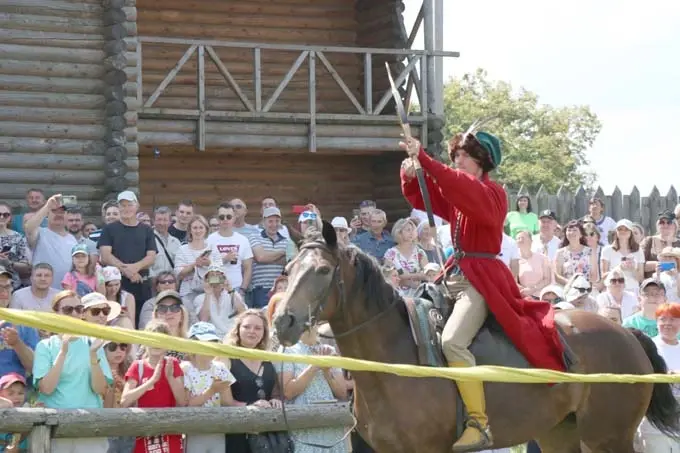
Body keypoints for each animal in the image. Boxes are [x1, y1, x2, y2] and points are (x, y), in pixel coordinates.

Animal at [274, 223, 680, 452]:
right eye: (288, 269)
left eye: (322, 270)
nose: (282, 321)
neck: (394, 359)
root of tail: (626, 334)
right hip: (559, 433)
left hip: (608, 438)